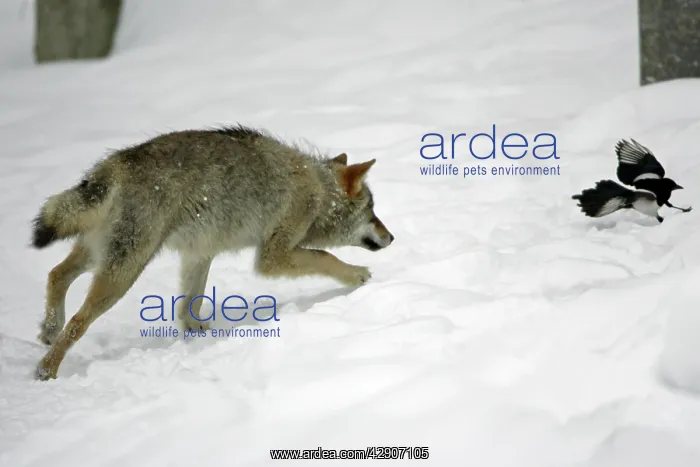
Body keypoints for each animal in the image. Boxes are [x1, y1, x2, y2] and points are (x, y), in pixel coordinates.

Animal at [30, 125, 394, 380]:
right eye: (372, 211)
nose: (391, 237)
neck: (318, 190)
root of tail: (118, 163)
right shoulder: (272, 257)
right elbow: (326, 257)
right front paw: (358, 275)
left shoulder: (200, 254)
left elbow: (190, 304)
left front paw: (199, 334)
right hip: (123, 272)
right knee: (78, 321)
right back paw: (47, 370)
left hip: (102, 257)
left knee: (55, 274)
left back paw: (48, 330)